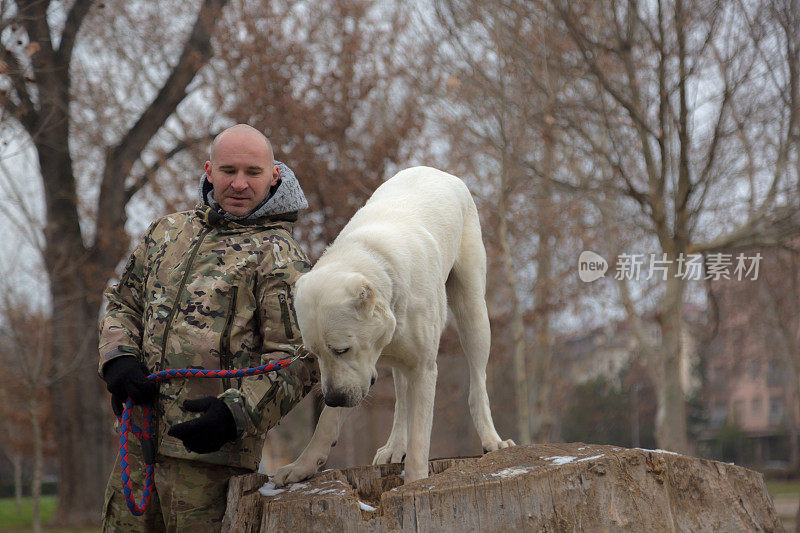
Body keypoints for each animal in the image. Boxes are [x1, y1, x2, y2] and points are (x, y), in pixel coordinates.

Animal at [276, 167, 512, 486]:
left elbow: (420, 436)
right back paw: (394, 446)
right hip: (401, 355)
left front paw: (415, 481)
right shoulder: (359, 374)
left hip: (473, 313)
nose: (334, 398)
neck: (375, 260)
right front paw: (302, 465)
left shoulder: (424, 368)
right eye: (313, 355)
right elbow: (326, 422)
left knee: (477, 382)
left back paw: (491, 439)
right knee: (402, 399)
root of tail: (436, 170)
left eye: (342, 349)